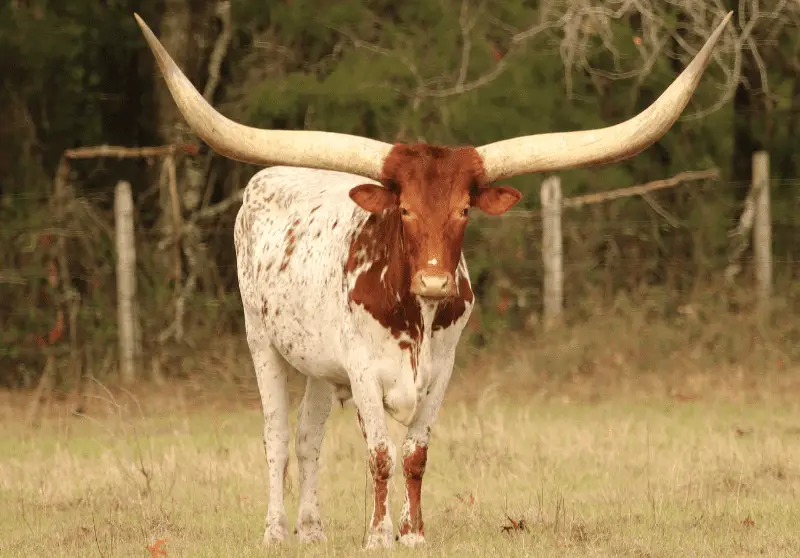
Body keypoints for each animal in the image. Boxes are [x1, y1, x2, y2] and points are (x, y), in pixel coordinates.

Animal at [136, 13, 732, 552]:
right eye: (403, 208)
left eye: (465, 209)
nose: (434, 280)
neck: (415, 317)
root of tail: (267, 179)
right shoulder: (363, 369)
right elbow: (379, 453)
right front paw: (378, 536)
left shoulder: (442, 370)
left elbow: (414, 454)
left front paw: (413, 532)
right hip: (262, 341)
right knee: (277, 437)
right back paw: (277, 532)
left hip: (321, 367)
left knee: (307, 439)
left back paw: (312, 530)